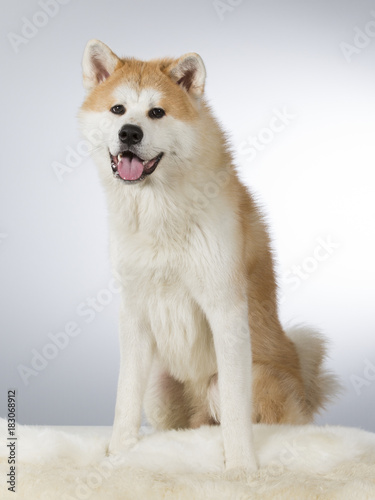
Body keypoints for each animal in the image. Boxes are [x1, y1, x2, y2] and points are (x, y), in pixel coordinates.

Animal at [79, 40, 338, 472]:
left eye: (157, 112)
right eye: (118, 109)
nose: (129, 132)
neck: (160, 212)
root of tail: (304, 384)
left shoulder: (225, 307)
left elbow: (234, 408)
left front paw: (242, 467)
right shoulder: (134, 311)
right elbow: (124, 398)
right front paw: (117, 454)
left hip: (240, 381)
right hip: (160, 389)